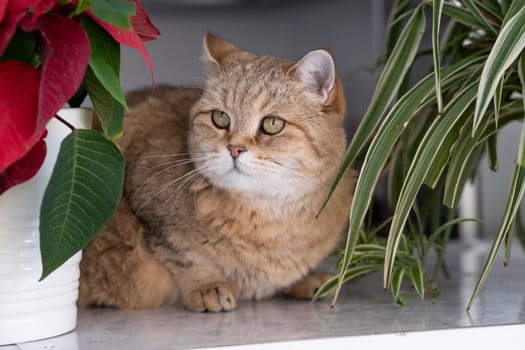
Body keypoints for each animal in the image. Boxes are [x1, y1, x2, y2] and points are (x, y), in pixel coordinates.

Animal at [79, 32, 356, 312]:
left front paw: (306, 279)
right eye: (220, 118)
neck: (266, 216)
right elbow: (185, 255)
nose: (234, 148)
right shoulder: (149, 208)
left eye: (272, 123)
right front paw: (207, 285)